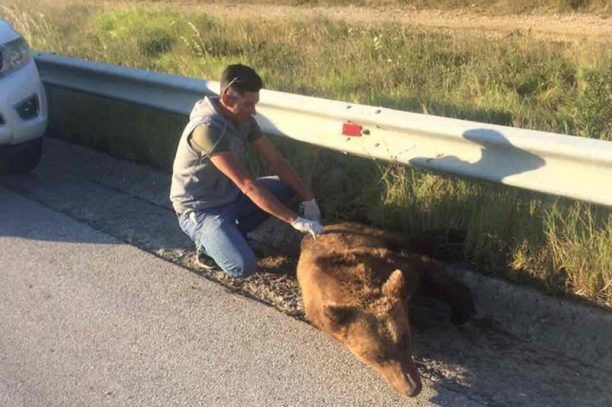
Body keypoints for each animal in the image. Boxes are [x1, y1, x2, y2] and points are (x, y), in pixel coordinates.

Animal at [298, 223, 476, 398]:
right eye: (378, 356)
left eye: (404, 339)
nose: (412, 389)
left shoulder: (390, 265)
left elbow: (425, 273)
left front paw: (461, 311)